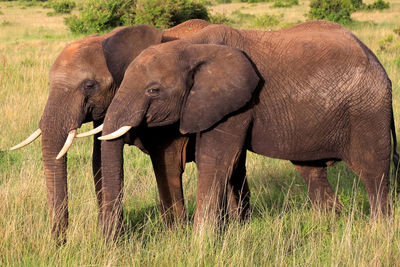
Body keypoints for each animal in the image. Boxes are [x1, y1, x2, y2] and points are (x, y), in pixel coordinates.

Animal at [11, 19, 250, 243]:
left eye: (89, 85)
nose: (60, 243)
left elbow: (167, 162)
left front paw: (176, 235)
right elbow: (99, 162)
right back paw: (239, 223)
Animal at [100, 20, 400, 230]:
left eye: (153, 90)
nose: (118, 237)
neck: (191, 46)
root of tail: (378, 62)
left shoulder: (236, 104)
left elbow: (215, 160)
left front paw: (201, 242)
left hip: (367, 112)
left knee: (373, 174)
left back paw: (378, 230)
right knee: (311, 170)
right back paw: (329, 223)